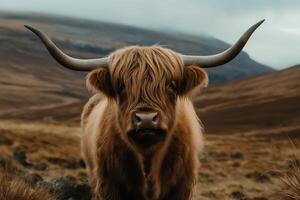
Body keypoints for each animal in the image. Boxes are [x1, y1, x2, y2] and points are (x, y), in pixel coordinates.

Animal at [26, 19, 264, 199]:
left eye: (171, 85)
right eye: (122, 85)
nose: (147, 119)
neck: (149, 162)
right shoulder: (109, 185)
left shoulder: (181, 187)